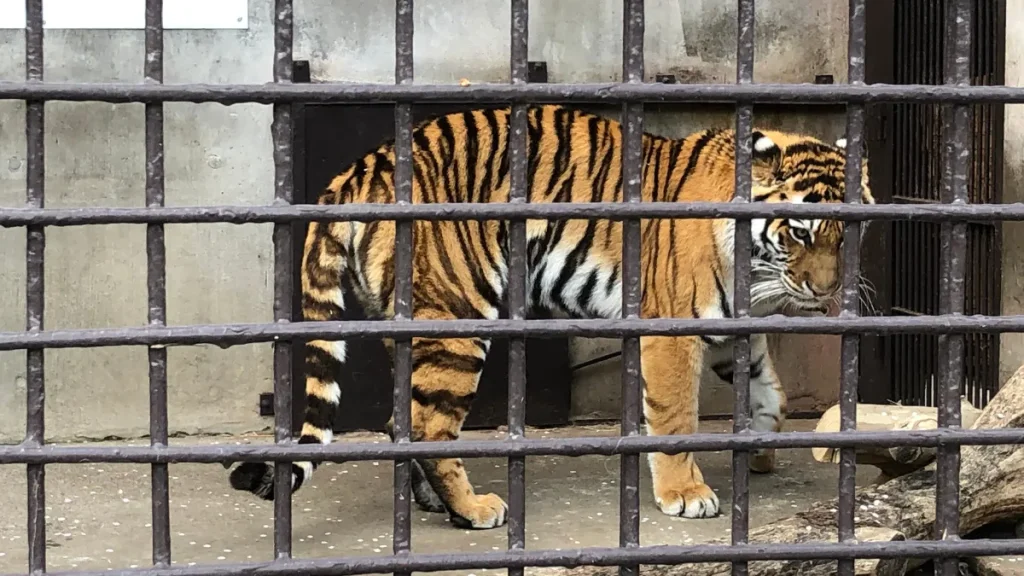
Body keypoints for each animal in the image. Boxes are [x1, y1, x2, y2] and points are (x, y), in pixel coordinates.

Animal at [226, 101, 872, 524]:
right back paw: (472, 509)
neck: (754, 266)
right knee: (430, 422)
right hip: (459, 316)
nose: (825, 290)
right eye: (800, 232)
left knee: (403, 418)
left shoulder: (737, 329)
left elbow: (770, 394)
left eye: (849, 233)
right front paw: (686, 494)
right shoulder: (673, 332)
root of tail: (367, 165)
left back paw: (433, 501)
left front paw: (758, 449)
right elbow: (674, 418)